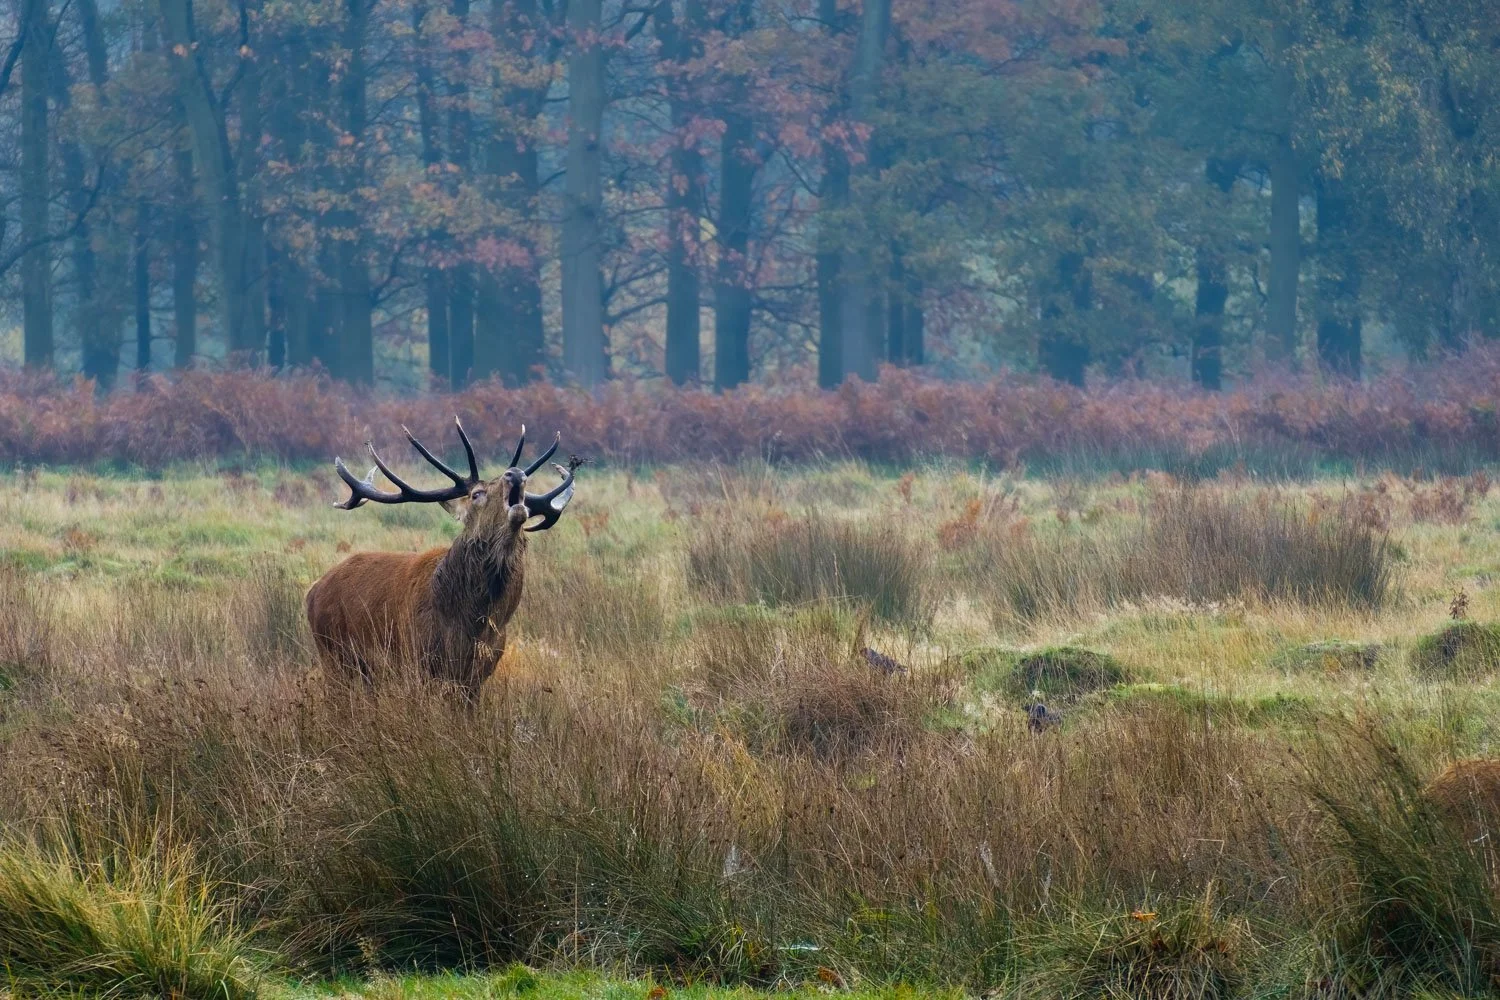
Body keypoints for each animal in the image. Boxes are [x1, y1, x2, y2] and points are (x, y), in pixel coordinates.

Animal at [305, 419, 575, 702]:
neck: (472, 622)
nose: (516, 474)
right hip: (333, 654)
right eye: (476, 494)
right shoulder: (416, 662)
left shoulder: (479, 674)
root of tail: (312, 591)